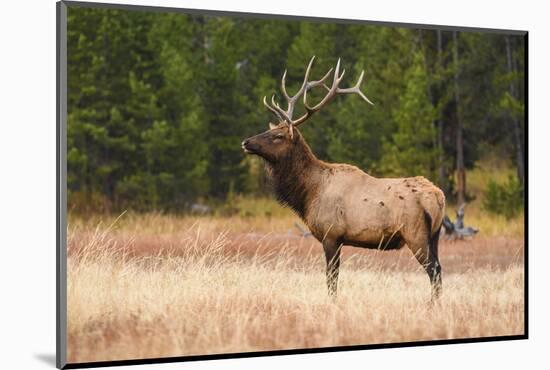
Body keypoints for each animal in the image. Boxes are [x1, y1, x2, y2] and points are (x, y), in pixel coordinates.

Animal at [243, 57, 448, 300]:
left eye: (277, 136)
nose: (246, 142)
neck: (308, 193)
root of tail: (439, 197)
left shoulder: (331, 235)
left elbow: (331, 279)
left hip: (415, 234)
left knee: (434, 271)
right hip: (435, 236)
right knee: (439, 269)